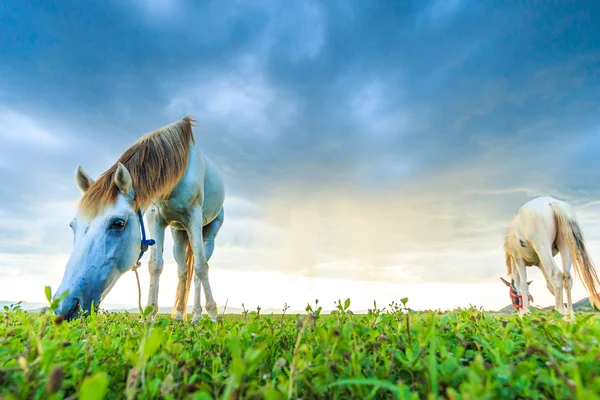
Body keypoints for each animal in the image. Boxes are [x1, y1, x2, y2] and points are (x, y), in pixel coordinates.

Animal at [53, 117, 225, 324]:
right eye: (73, 226)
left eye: (118, 223)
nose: (65, 307)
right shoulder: (155, 217)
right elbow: (155, 265)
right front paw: (149, 317)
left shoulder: (194, 217)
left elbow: (200, 267)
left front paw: (214, 316)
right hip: (179, 233)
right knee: (183, 272)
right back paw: (178, 315)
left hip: (207, 234)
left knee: (199, 271)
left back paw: (198, 315)